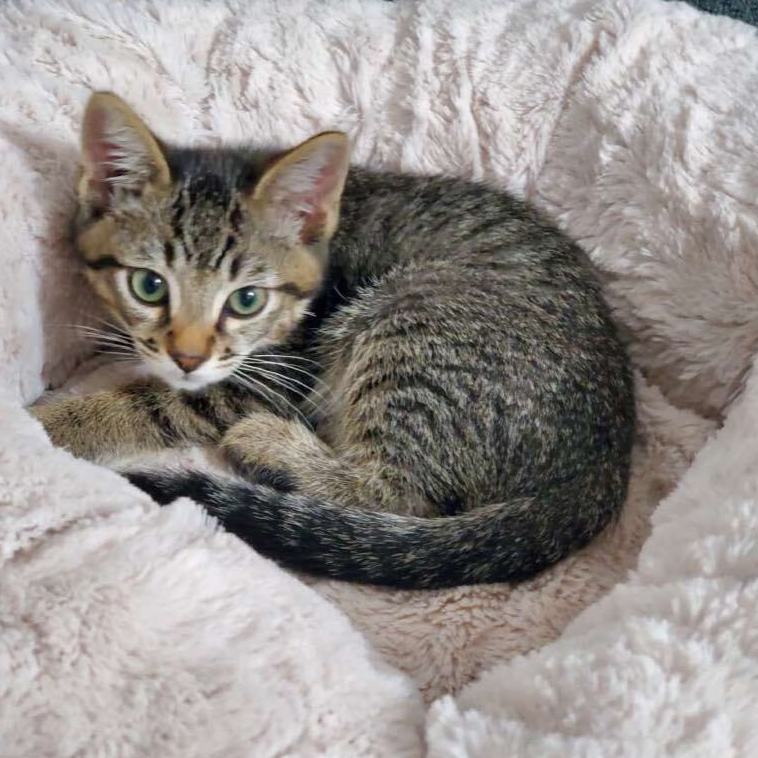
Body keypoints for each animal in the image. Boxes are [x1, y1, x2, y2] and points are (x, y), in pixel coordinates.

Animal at [31, 91, 635, 589]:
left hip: (414, 317)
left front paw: (49, 426)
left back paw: (272, 444)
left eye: (246, 300)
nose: (187, 356)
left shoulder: (274, 374)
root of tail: (607, 458)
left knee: (399, 496)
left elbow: (149, 404)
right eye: (149, 285)